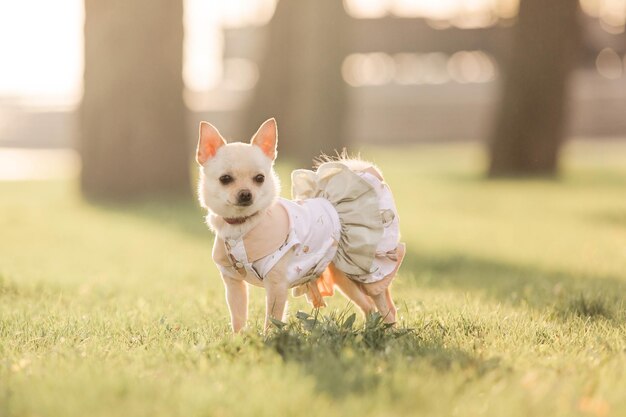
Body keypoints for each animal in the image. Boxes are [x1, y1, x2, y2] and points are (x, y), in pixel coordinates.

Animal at [197, 117, 408, 332]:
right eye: (225, 179)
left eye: (260, 178)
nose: (246, 194)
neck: (243, 225)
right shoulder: (234, 283)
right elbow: (238, 318)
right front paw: (240, 338)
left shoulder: (276, 285)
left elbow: (272, 320)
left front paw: (269, 338)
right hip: (344, 275)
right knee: (368, 306)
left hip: (368, 274)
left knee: (386, 306)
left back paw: (390, 332)